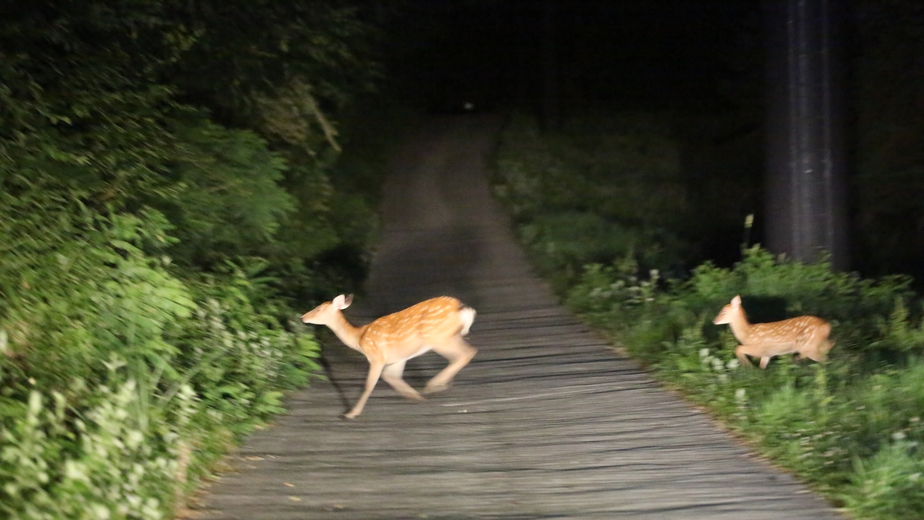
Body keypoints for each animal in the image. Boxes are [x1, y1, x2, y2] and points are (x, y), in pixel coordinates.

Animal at [302, 294, 476, 420]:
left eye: (319, 309)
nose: (303, 317)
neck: (358, 339)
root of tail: (463, 309)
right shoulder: (397, 359)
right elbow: (391, 377)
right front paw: (417, 397)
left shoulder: (376, 356)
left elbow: (369, 384)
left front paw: (351, 413)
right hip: (449, 336)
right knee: (468, 352)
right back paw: (439, 385)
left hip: (437, 337)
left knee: (464, 354)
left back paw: (434, 385)